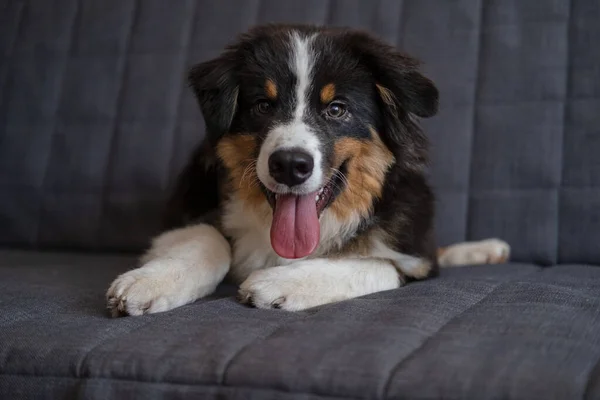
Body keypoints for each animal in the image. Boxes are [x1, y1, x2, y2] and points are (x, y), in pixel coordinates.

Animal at [105, 23, 508, 316]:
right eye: (262, 105)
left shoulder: (413, 251)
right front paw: (152, 281)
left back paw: (487, 248)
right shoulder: (182, 212)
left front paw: (278, 283)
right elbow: (209, 237)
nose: (289, 165)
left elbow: (373, 262)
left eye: (337, 109)